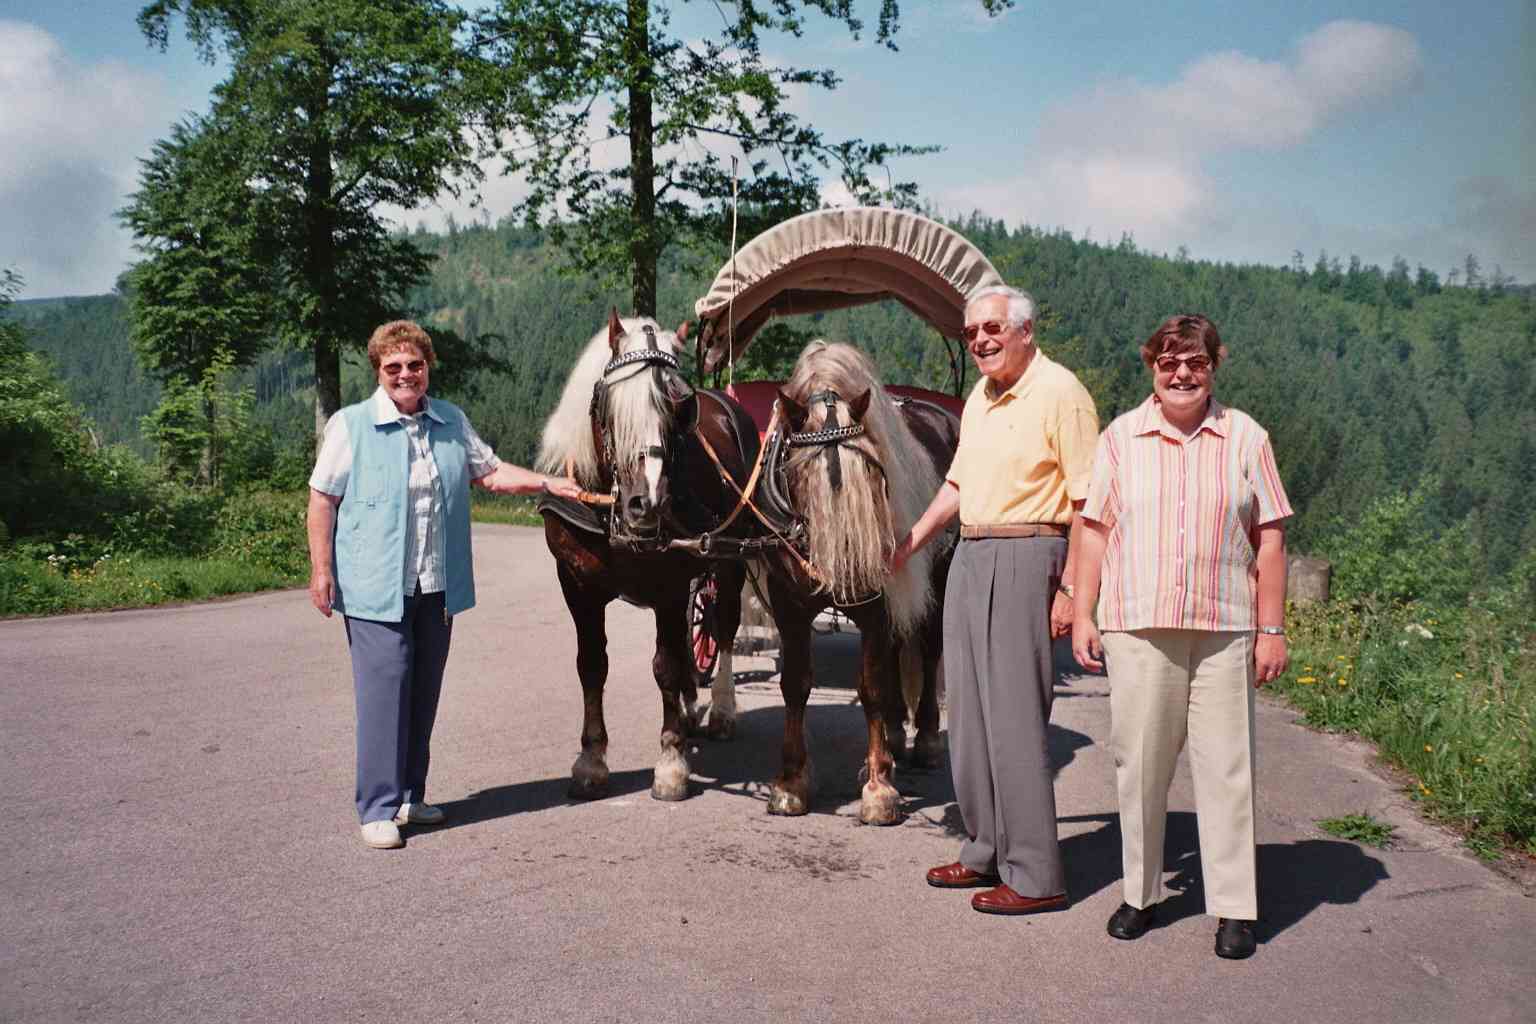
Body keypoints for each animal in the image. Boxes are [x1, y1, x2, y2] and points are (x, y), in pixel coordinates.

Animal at [758, 340, 958, 829]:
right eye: (800, 474)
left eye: (873, 473)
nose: (851, 576)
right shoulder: (789, 604)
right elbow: (796, 683)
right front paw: (791, 781)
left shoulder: (876, 606)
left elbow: (871, 687)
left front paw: (879, 788)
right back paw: (893, 735)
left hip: (937, 579)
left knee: (927, 650)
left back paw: (923, 739)